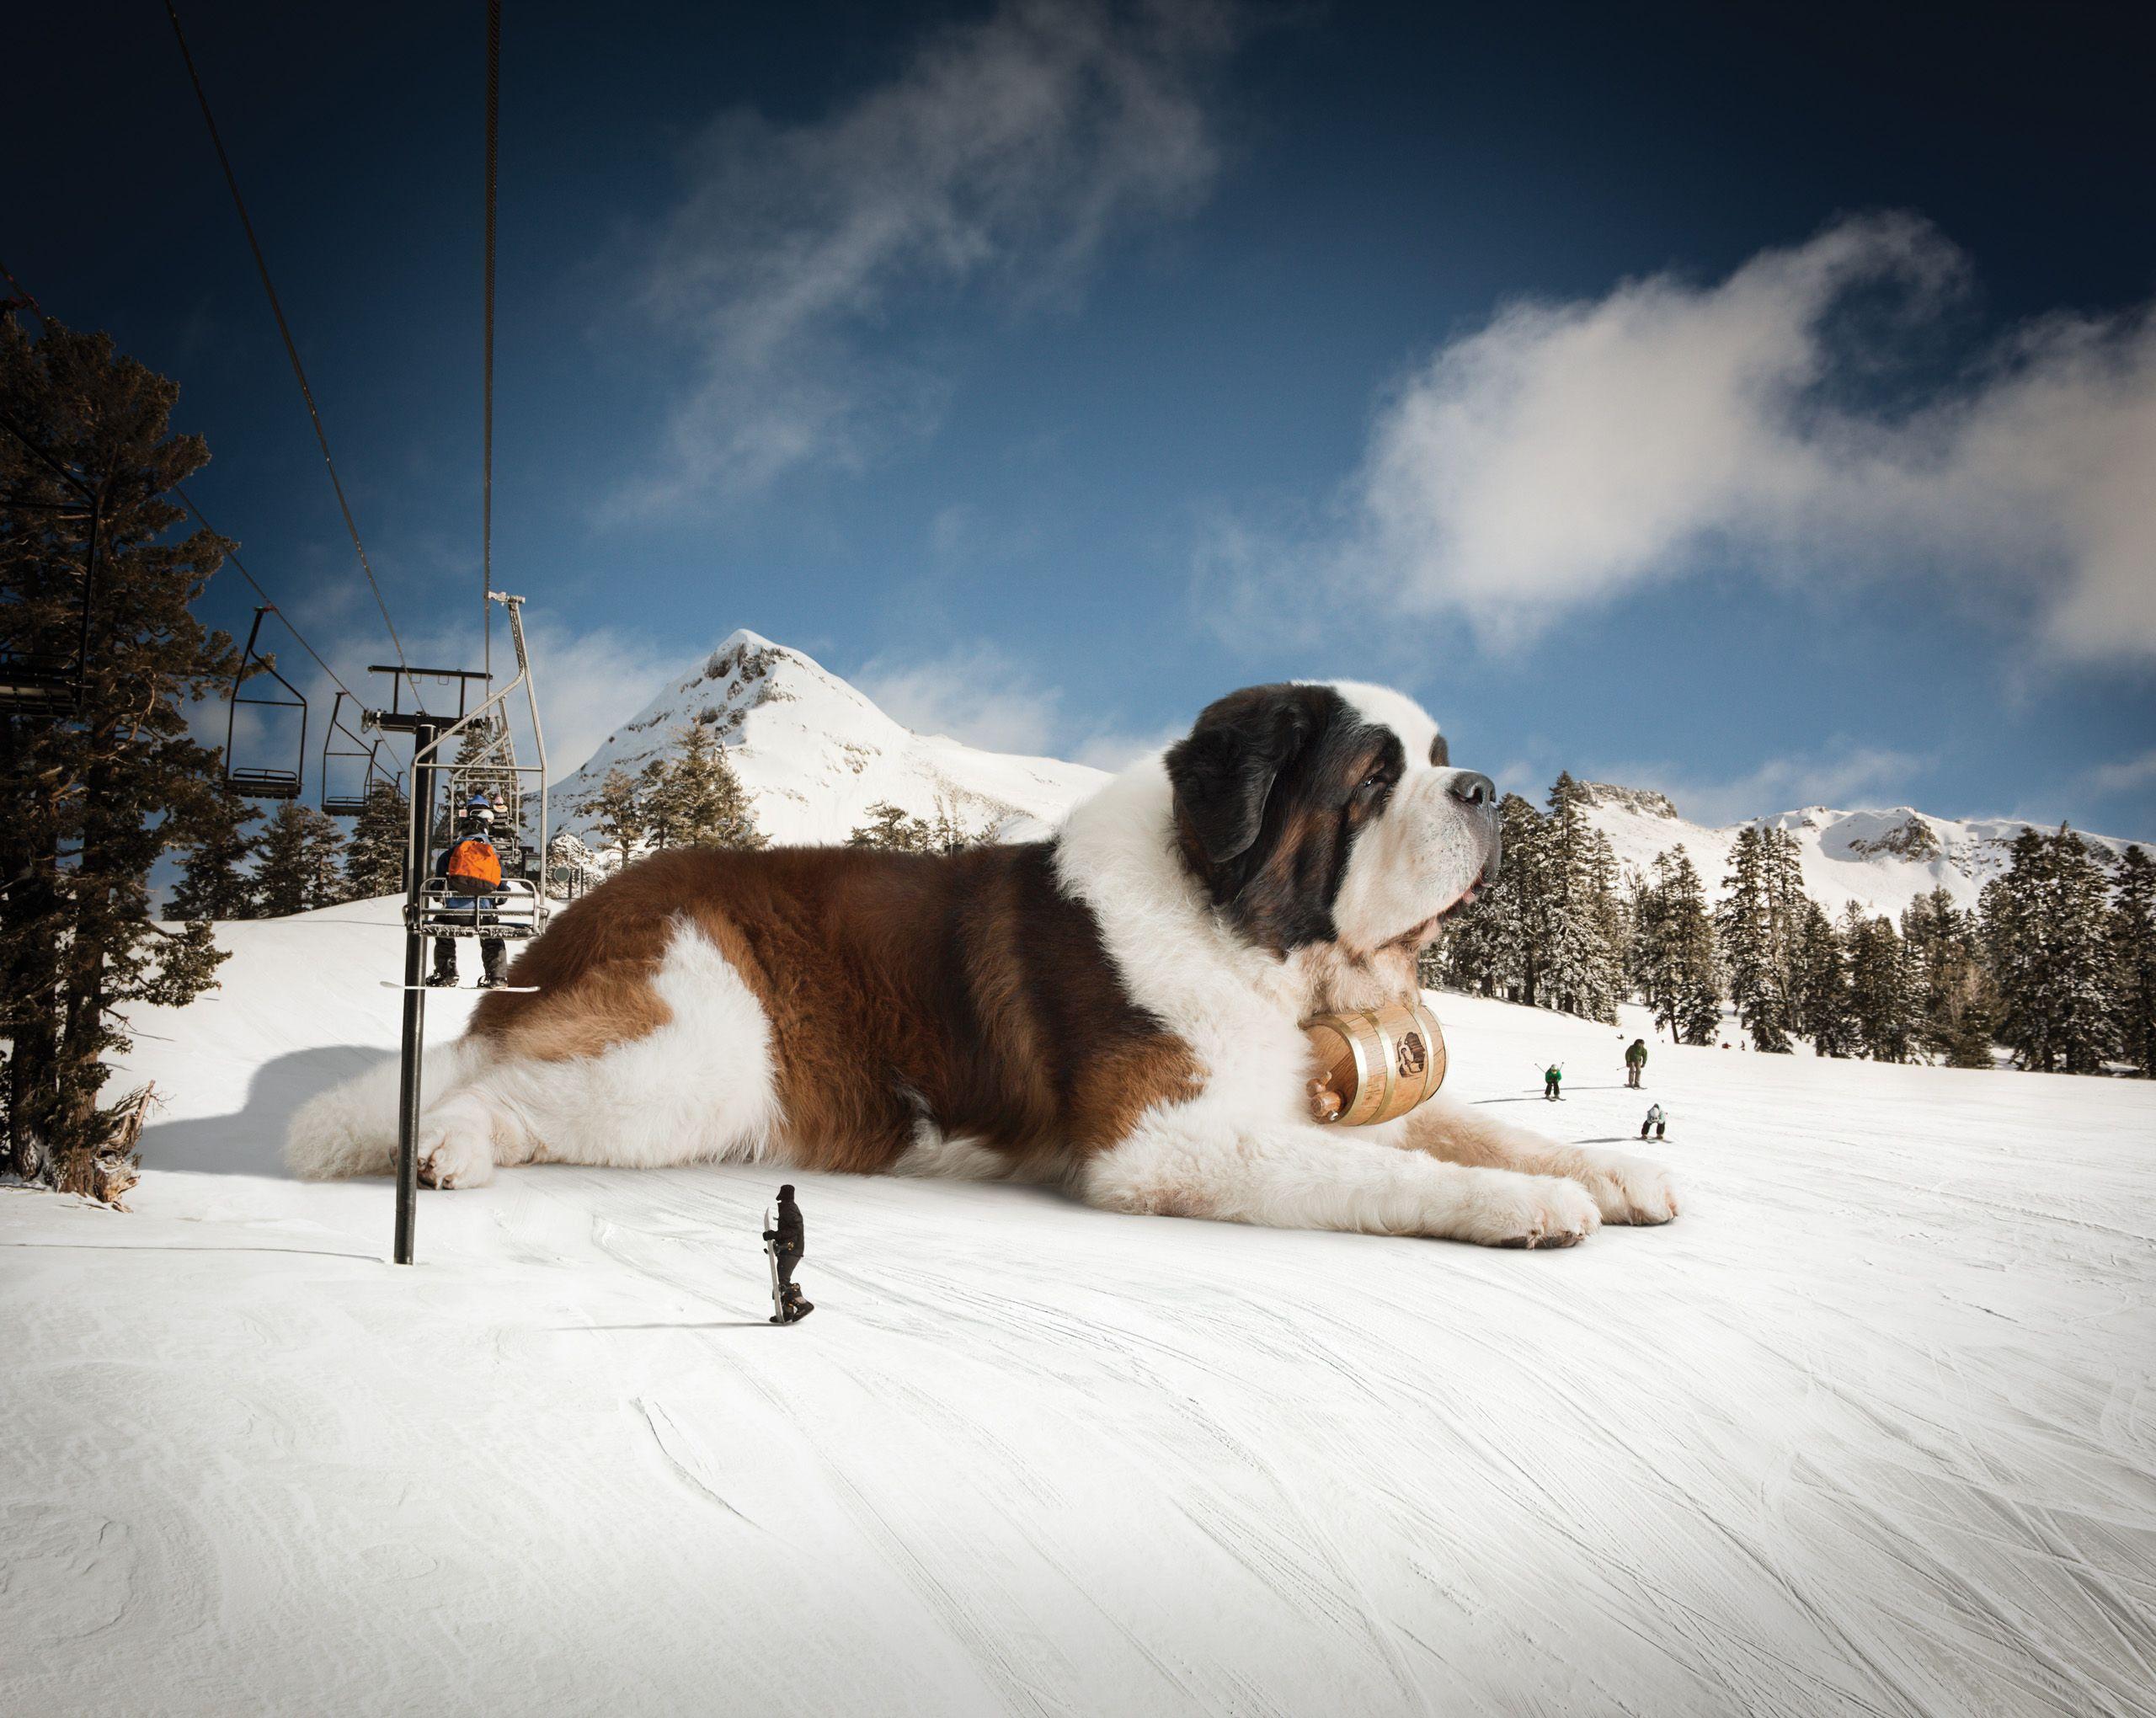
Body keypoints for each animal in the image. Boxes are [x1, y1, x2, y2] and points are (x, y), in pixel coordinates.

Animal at [286, 685, 1673, 1250]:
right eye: (1376, 776)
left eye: (1439, 758)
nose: (1483, 790)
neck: (1244, 927)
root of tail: (580, 915)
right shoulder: (1165, 1145)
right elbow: (1386, 1172)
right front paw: (1532, 1207)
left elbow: (1472, 1127)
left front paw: (1612, 1175)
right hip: (696, 1053)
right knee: (491, 1089)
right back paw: (443, 1148)